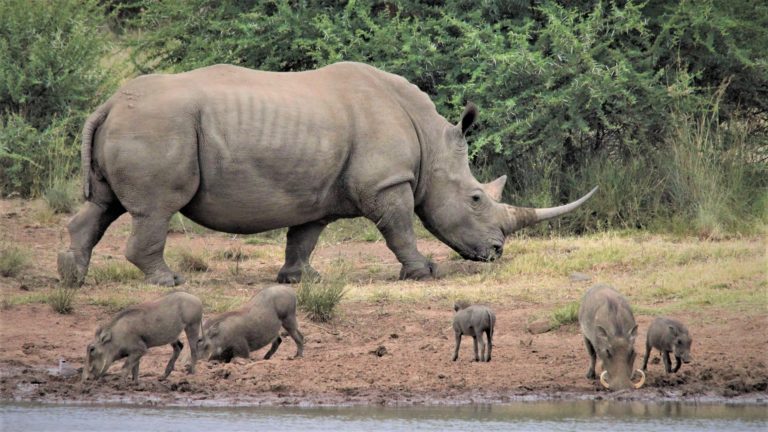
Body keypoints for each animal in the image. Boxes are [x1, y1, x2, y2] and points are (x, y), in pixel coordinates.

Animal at [57, 62, 596, 287]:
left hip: (135, 123)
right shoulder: (387, 181)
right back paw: (167, 283)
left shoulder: (314, 192)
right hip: (156, 126)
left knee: (102, 205)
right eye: (476, 199)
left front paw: (300, 279)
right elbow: (400, 228)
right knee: (155, 208)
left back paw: (71, 278)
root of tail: (107, 104)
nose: (497, 253)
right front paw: (423, 272)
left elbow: (305, 236)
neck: (430, 140)